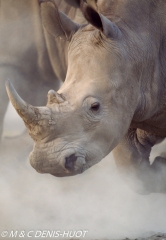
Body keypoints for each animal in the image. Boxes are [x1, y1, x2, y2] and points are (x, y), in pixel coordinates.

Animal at [6, 0, 166, 193]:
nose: (47, 162)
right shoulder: (125, 105)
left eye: (95, 107)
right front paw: (161, 165)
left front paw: (161, 160)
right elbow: (132, 169)